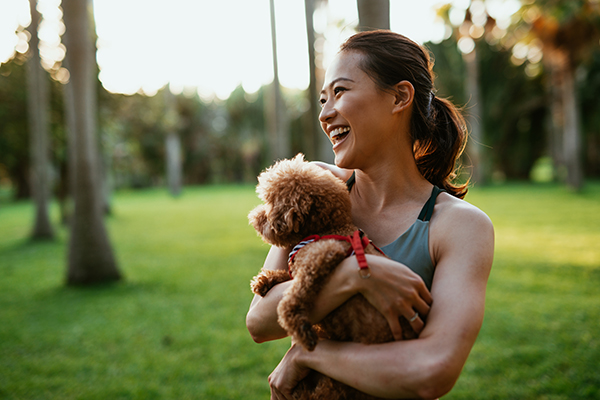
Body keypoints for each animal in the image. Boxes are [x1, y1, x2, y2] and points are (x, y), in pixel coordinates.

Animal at [248, 154, 412, 400]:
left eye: (269, 204)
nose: (254, 216)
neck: (326, 229)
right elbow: (289, 276)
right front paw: (265, 280)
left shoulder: (323, 255)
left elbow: (293, 295)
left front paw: (298, 326)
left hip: (343, 378)